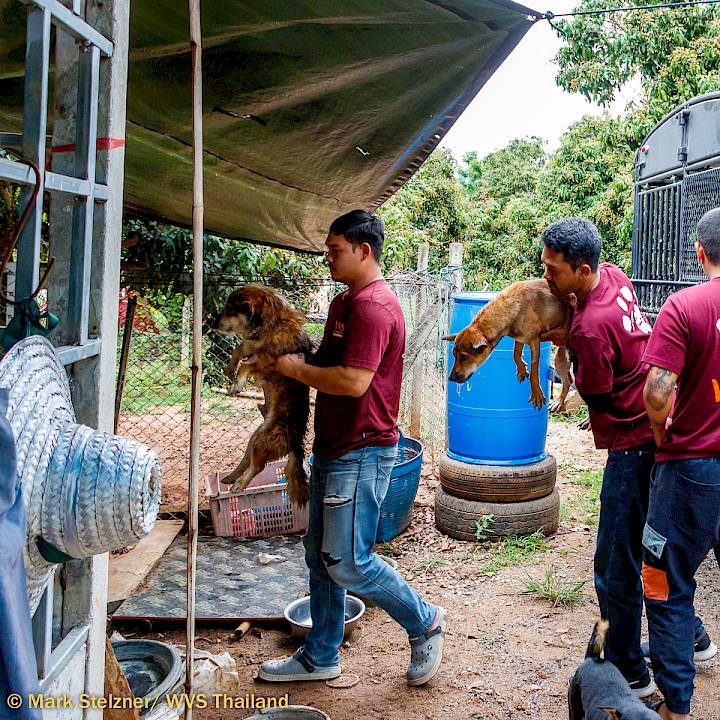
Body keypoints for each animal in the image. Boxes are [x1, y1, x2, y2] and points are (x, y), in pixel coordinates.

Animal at [217, 284, 312, 504]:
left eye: (229, 309)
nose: (213, 324)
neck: (273, 324)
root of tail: (296, 443)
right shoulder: (252, 346)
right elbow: (239, 348)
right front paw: (229, 369)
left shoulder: (269, 362)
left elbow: (245, 364)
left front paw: (236, 384)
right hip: (256, 438)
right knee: (248, 461)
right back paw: (231, 477)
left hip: (263, 440)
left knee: (257, 466)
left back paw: (239, 485)